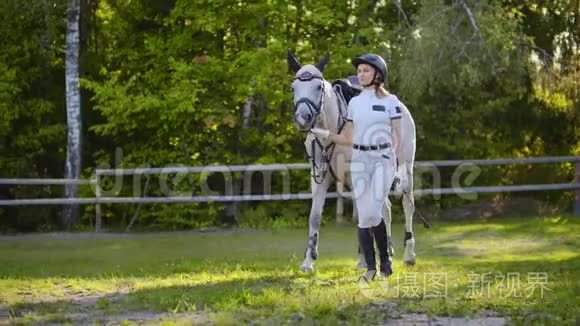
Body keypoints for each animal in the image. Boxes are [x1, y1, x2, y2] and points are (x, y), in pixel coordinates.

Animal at [288, 52, 416, 272]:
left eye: (318, 87)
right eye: (293, 88)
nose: (302, 118)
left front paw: (366, 259)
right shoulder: (320, 179)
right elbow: (315, 217)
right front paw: (308, 261)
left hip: (406, 170)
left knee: (407, 206)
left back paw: (408, 255)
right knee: (385, 208)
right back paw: (386, 250)